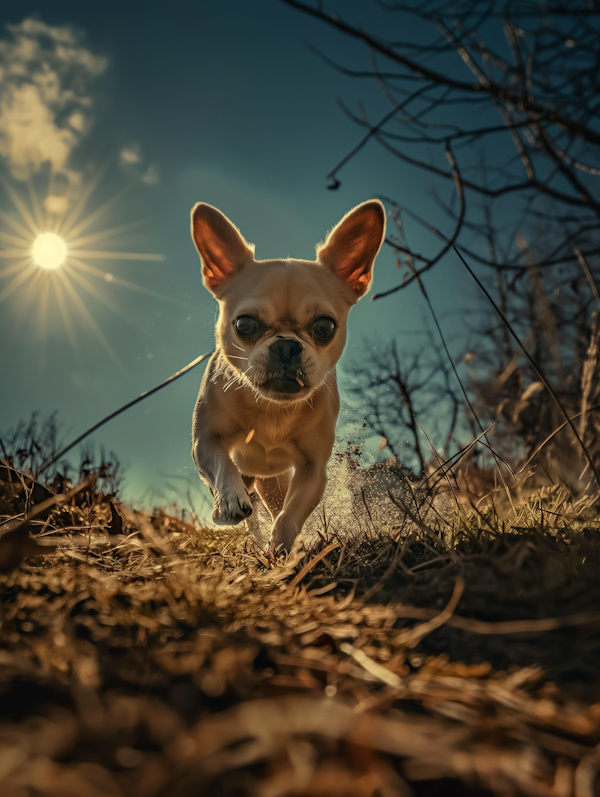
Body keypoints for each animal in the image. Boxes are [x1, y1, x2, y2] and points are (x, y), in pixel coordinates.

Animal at [190, 197, 386, 552]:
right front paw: (229, 501)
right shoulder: (205, 443)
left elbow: (292, 513)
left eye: (324, 326)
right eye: (245, 325)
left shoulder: (313, 470)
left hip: (273, 483)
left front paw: (282, 547)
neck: (273, 409)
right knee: (247, 502)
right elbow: (222, 466)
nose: (285, 346)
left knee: (277, 504)